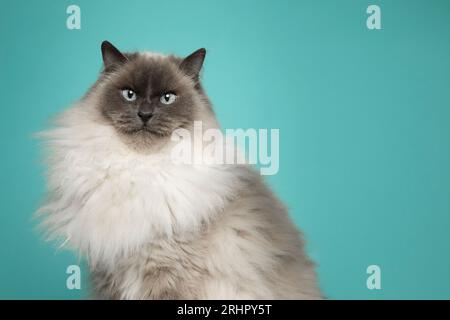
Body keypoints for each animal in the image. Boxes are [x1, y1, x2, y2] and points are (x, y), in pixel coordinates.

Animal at [37, 41, 322, 298]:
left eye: (167, 98)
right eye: (129, 94)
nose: (145, 114)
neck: (139, 169)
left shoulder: (167, 274)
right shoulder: (109, 271)